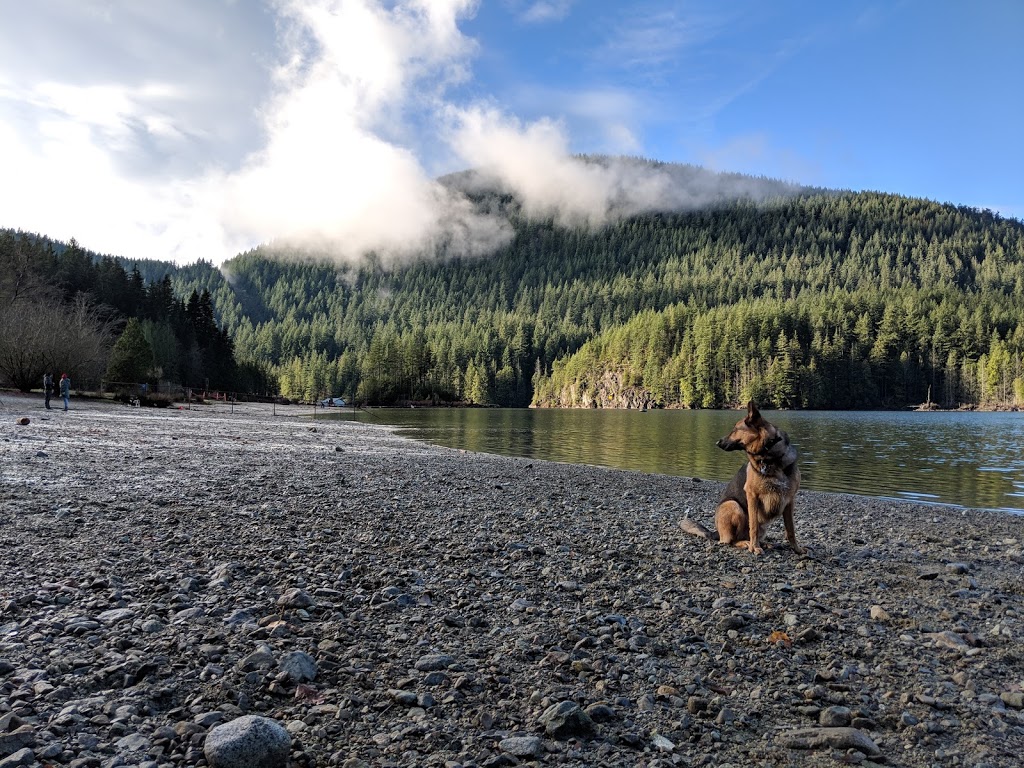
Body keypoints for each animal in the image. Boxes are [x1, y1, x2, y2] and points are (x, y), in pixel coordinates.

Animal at [684, 399, 802, 557]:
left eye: (735, 429)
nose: (717, 443)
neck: (769, 458)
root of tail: (716, 533)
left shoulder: (789, 500)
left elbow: (791, 530)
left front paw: (797, 549)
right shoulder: (752, 495)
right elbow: (753, 527)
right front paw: (755, 548)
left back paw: (765, 543)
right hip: (733, 505)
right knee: (730, 541)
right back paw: (747, 544)